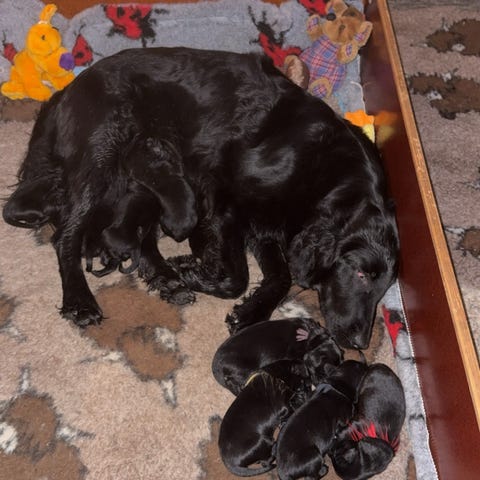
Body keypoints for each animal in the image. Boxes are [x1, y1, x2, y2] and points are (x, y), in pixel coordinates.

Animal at [2, 47, 399, 347]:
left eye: (385, 288)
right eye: (361, 274)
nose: (360, 343)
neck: (326, 173)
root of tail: (68, 89)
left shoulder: (267, 224)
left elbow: (281, 277)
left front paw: (250, 311)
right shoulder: (228, 203)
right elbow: (237, 277)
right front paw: (195, 270)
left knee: (138, 235)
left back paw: (165, 276)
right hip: (102, 149)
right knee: (65, 236)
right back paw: (82, 299)